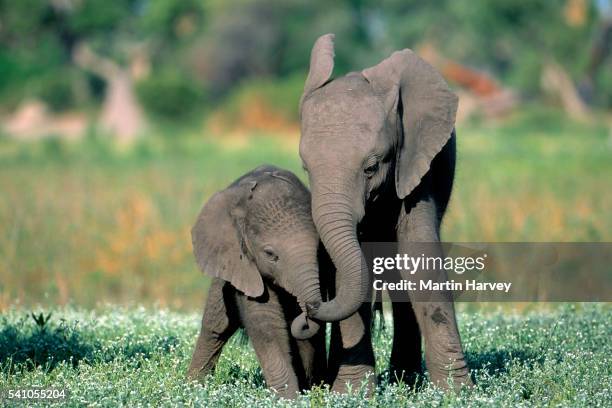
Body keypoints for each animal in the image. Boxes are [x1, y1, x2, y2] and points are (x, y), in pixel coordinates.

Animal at [186, 165, 328, 398]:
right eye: (270, 254)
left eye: (319, 249)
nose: (306, 315)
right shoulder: (244, 263)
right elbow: (266, 322)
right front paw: (289, 400)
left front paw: (309, 394)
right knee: (216, 326)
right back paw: (193, 389)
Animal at [292, 33, 474, 390]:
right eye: (305, 168)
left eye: (371, 167)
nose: (308, 307)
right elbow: (352, 267)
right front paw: (350, 392)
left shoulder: (417, 164)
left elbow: (419, 258)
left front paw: (457, 392)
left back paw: (405, 379)